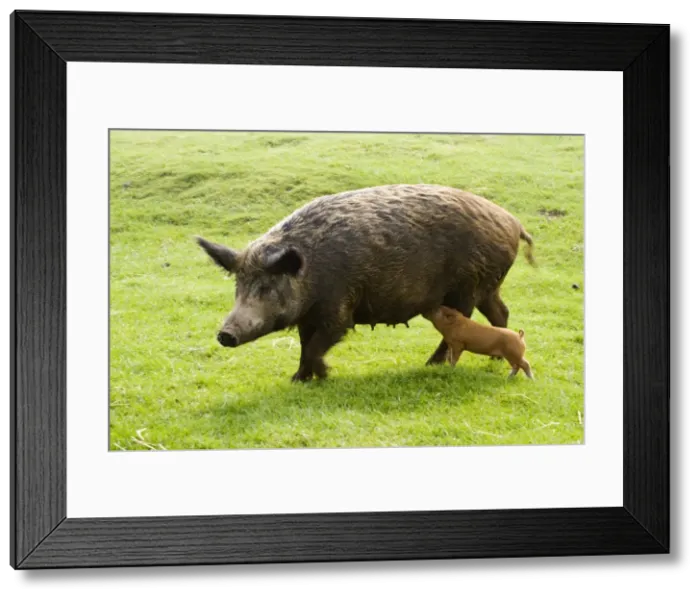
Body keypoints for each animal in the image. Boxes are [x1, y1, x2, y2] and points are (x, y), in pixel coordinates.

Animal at [196, 183, 535, 382]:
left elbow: (319, 344)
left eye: (266, 287)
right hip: (488, 285)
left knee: (462, 325)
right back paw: (493, 359)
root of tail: (514, 223)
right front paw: (298, 380)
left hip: (467, 287)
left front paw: (323, 376)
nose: (225, 334)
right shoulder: (308, 315)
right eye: (238, 287)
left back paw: (431, 365)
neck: (311, 274)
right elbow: (305, 345)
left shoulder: (339, 308)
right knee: (501, 312)